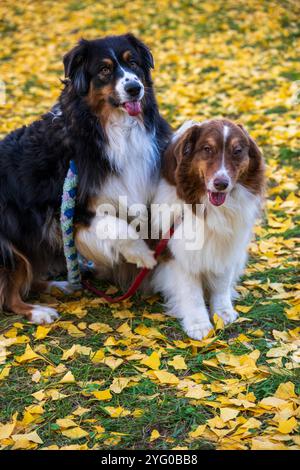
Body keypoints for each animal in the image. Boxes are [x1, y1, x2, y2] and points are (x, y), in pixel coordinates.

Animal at [0, 35, 172, 324]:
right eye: (103, 70)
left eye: (133, 63)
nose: (135, 88)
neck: (108, 128)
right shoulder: (66, 210)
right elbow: (116, 226)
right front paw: (141, 254)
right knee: (9, 295)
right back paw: (37, 311)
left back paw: (61, 285)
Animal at [150, 117, 264, 338]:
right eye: (207, 149)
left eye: (237, 151)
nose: (221, 184)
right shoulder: (178, 252)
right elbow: (191, 292)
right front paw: (198, 324)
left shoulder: (225, 246)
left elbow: (221, 283)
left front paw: (222, 312)